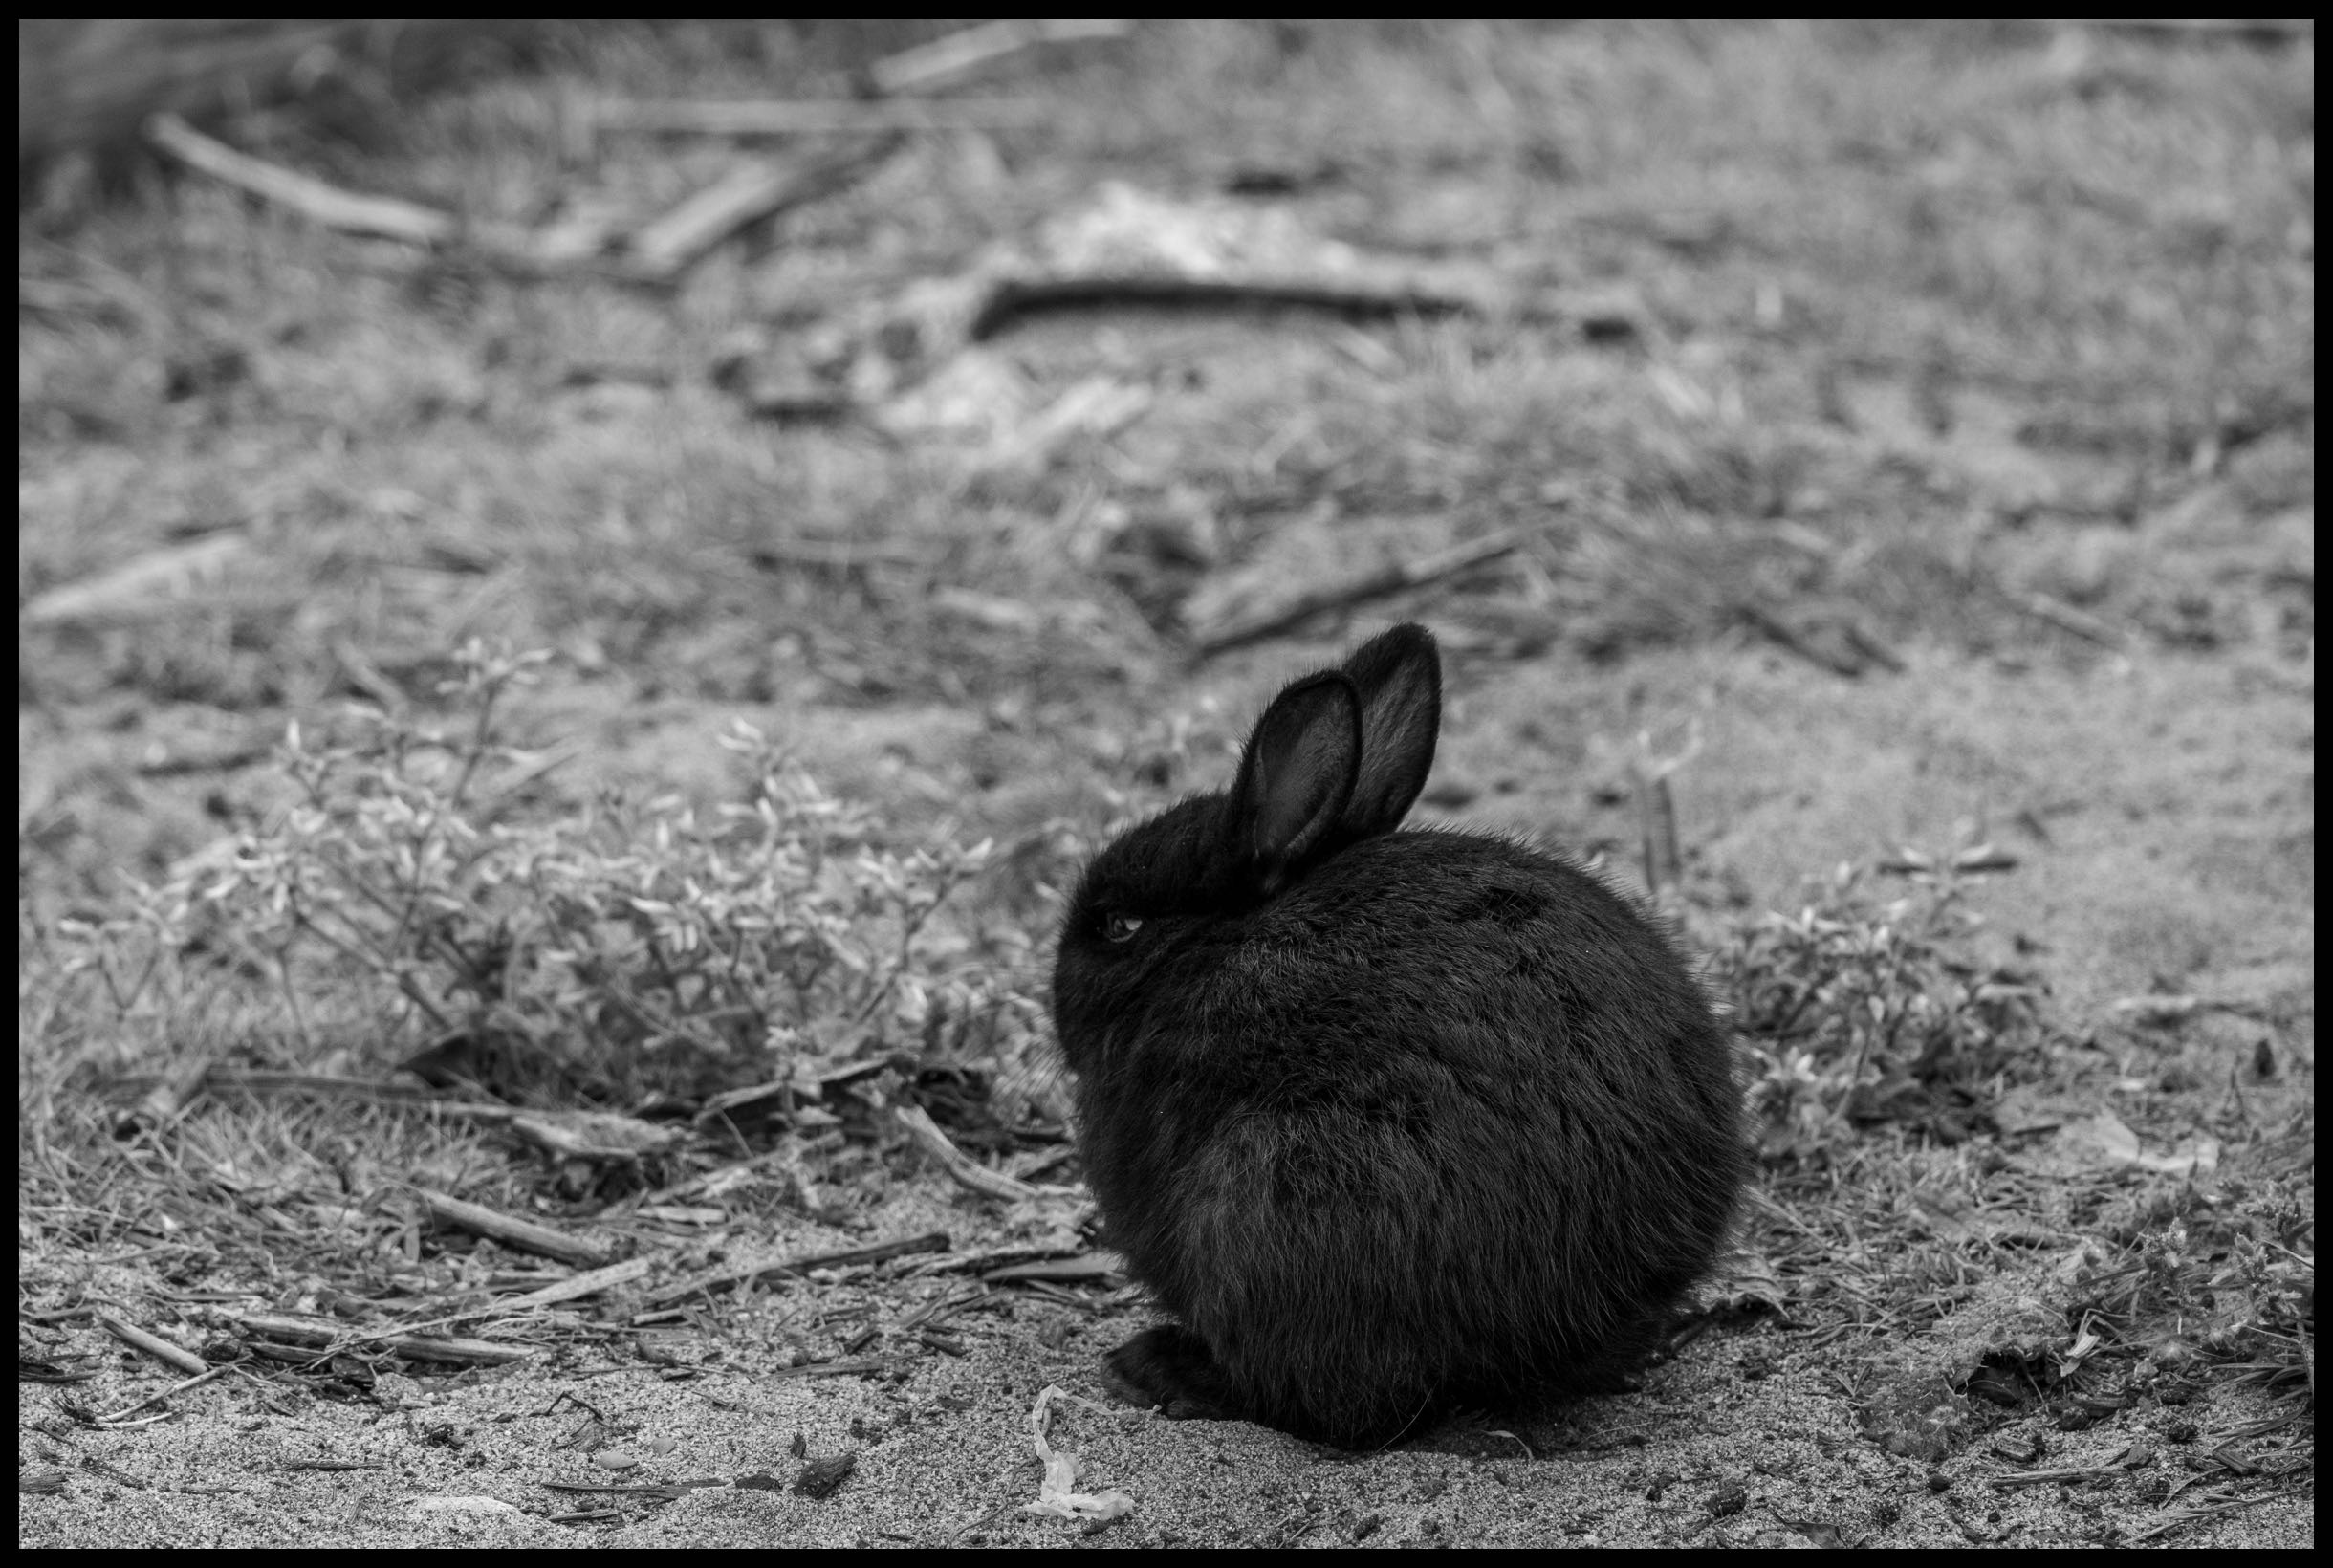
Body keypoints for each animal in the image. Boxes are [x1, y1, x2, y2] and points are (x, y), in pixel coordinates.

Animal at [1051, 623, 1744, 1448]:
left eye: (1119, 926)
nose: (1051, 997)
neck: (1211, 943)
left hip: (1285, 1189)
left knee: (1328, 1398)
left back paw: (1156, 1368)